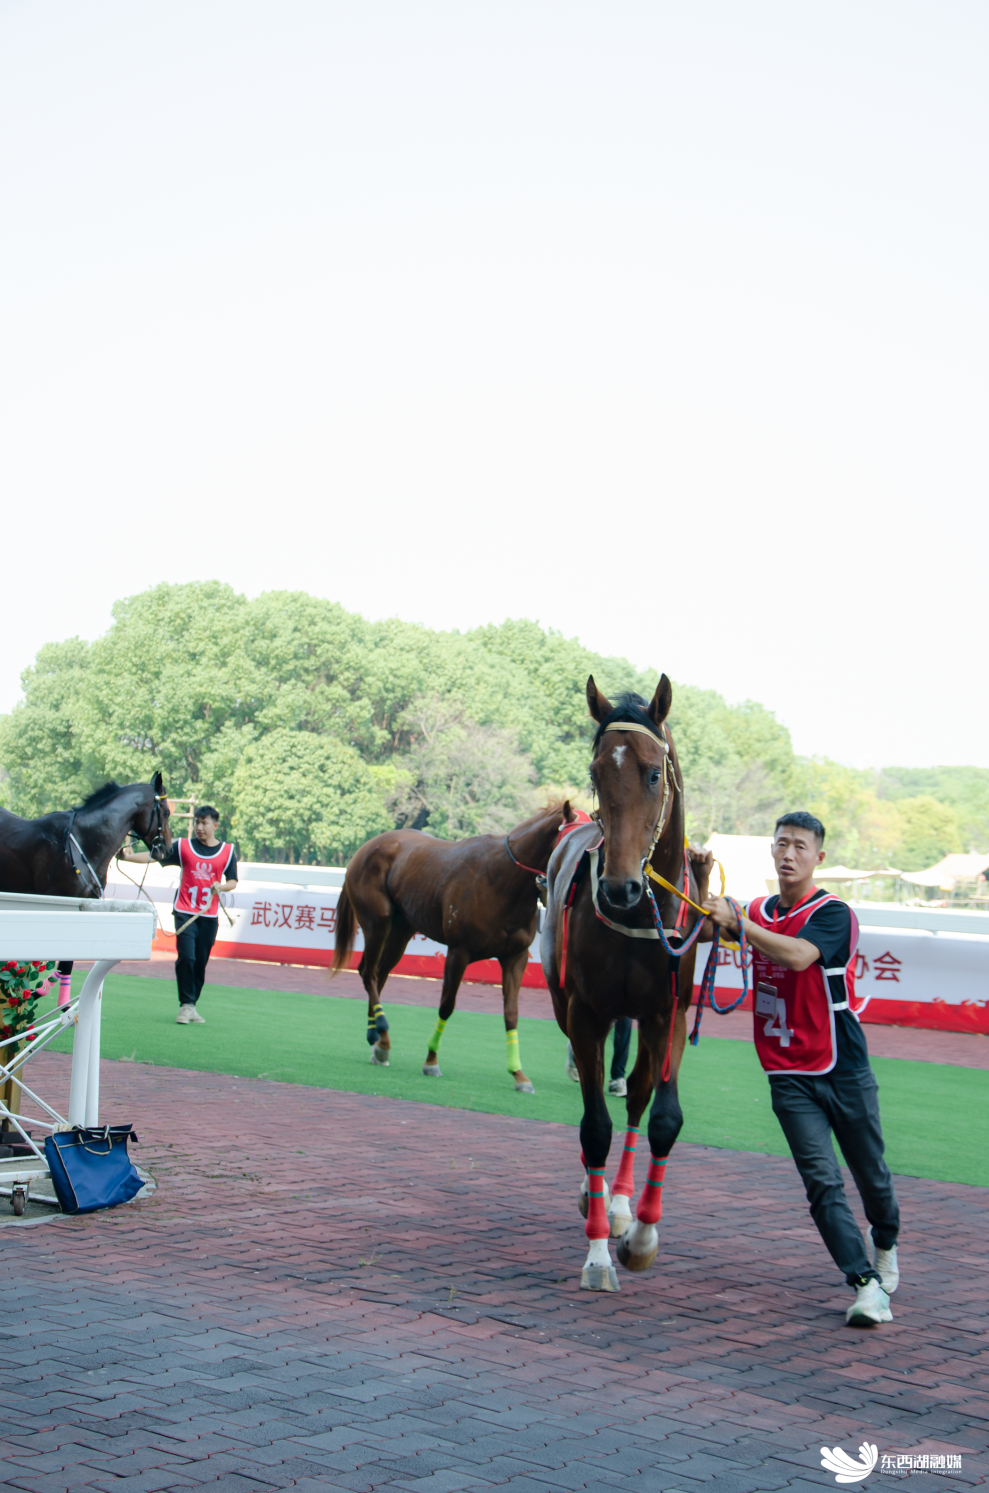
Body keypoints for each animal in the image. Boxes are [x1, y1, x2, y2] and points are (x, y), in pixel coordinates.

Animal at [331, 801, 580, 1091]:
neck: (503, 881)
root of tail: (367, 846)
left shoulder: (515, 957)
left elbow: (511, 1013)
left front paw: (519, 1074)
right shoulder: (459, 951)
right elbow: (446, 1005)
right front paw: (431, 1061)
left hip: (402, 929)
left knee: (379, 974)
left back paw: (379, 1041)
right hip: (376, 921)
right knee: (367, 972)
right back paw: (380, 1028)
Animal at [541, 676, 713, 1291]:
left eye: (653, 773)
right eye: (596, 772)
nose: (617, 887)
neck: (640, 916)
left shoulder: (670, 1011)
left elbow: (660, 1114)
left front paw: (640, 1235)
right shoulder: (587, 1011)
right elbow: (594, 1127)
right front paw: (597, 1256)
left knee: (637, 1094)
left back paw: (617, 1203)